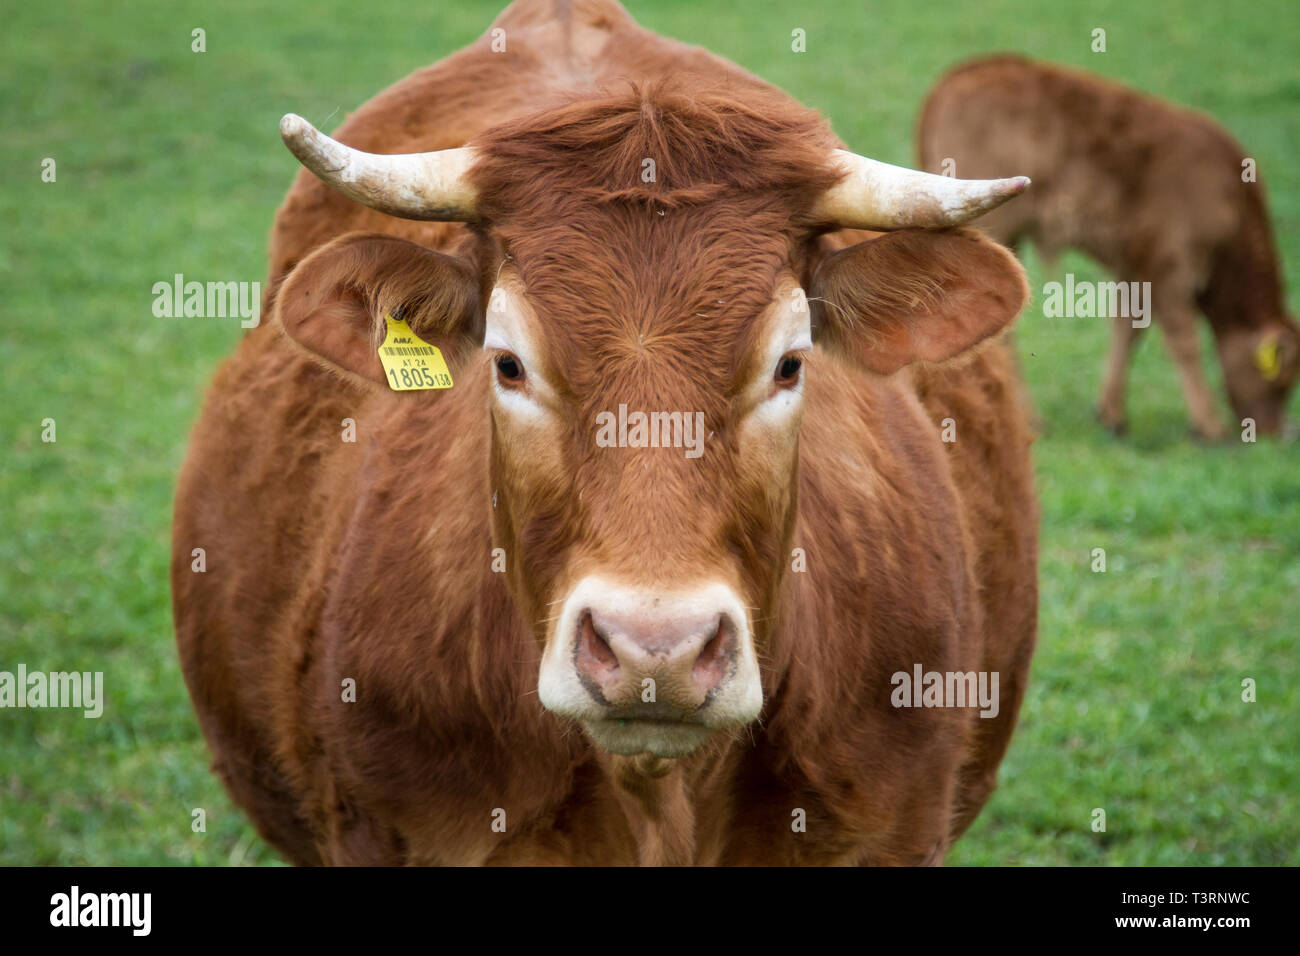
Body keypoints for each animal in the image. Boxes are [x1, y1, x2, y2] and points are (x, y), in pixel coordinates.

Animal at [920, 53, 1300, 442]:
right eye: (1281, 380)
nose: (1275, 431)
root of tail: (964, 73)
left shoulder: (1134, 268)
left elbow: (1127, 328)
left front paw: (1112, 414)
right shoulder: (1168, 266)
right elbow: (1186, 344)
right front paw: (1209, 425)